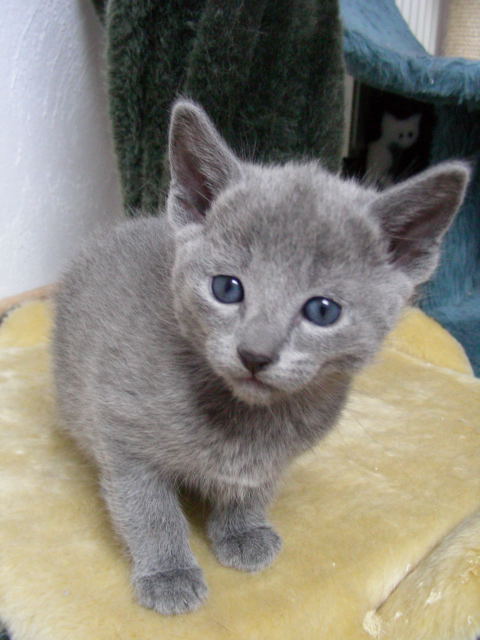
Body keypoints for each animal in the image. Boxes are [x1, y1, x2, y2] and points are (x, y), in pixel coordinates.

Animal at [52, 99, 469, 615]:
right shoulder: (122, 432)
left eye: (322, 310)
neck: (246, 418)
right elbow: (148, 508)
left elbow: (254, 486)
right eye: (226, 288)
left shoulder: (275, 457)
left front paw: (242, 530)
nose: (255, 353)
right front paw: (168, 573)